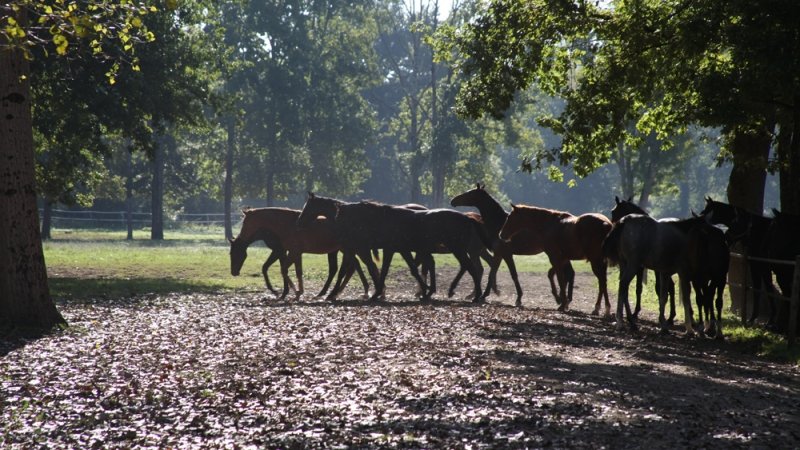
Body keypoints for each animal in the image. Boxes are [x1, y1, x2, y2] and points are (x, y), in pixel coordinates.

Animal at [229, 207, 369, 300]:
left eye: (245, 222)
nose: (234, 272)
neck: (288, 225)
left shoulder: (287, 251)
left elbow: (283, 270)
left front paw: (290, 292)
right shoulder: (294, 252)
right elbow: (297, 271)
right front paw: (296, 292)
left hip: (346, 250)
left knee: (349, 267)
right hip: (343, 250)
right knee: (350, 267)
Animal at [297, 193, 491, 302]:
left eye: (308, 206)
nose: (300, 221)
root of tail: (467, 218)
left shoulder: (361, 249)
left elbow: (360, 270)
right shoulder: (389, 249)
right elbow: (384, 270)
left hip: (457, 249)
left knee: (471, 268)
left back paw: (475, 295)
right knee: (464, 267)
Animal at [700, 197, 778, 326]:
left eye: (708, 208)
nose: (726, 237)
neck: (757, 231)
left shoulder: (761, 266)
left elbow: (765, 289)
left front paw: (766, 319)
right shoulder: (757, 265)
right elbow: (761, 288)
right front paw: (757, 318)